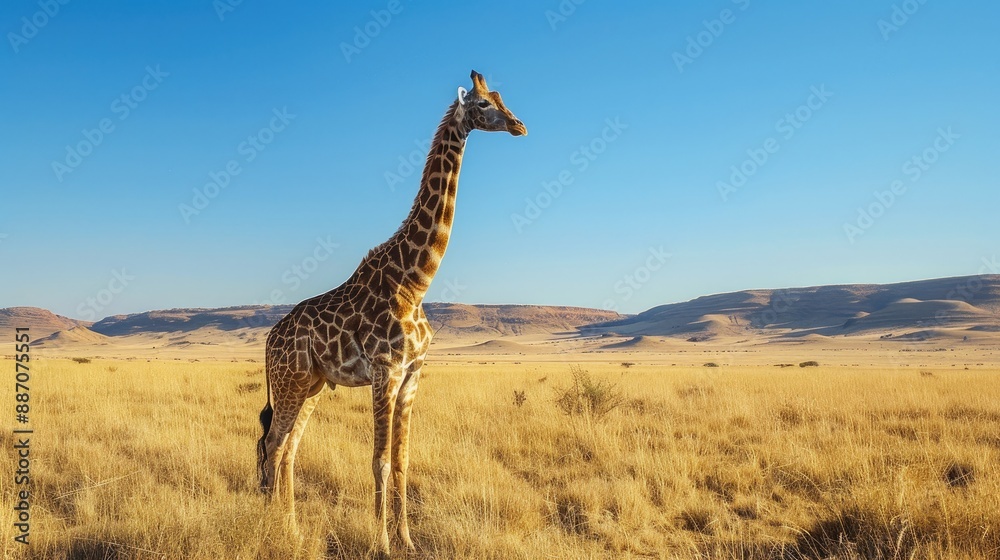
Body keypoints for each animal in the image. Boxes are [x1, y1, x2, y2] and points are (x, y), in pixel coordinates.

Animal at [257, 70, 526, 555]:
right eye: (482, 104)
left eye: (501, 97)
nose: (519, 125)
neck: (415, 281)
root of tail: (269, 341)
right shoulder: (386, 370)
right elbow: (379, 461)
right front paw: (380, 544)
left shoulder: (414, 373)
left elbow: (402, 461)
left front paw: (408, 541)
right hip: (289, 384)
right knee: (272, 446)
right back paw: (276, 528)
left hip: (311, 386)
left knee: (287, 448)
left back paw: (293, 528)